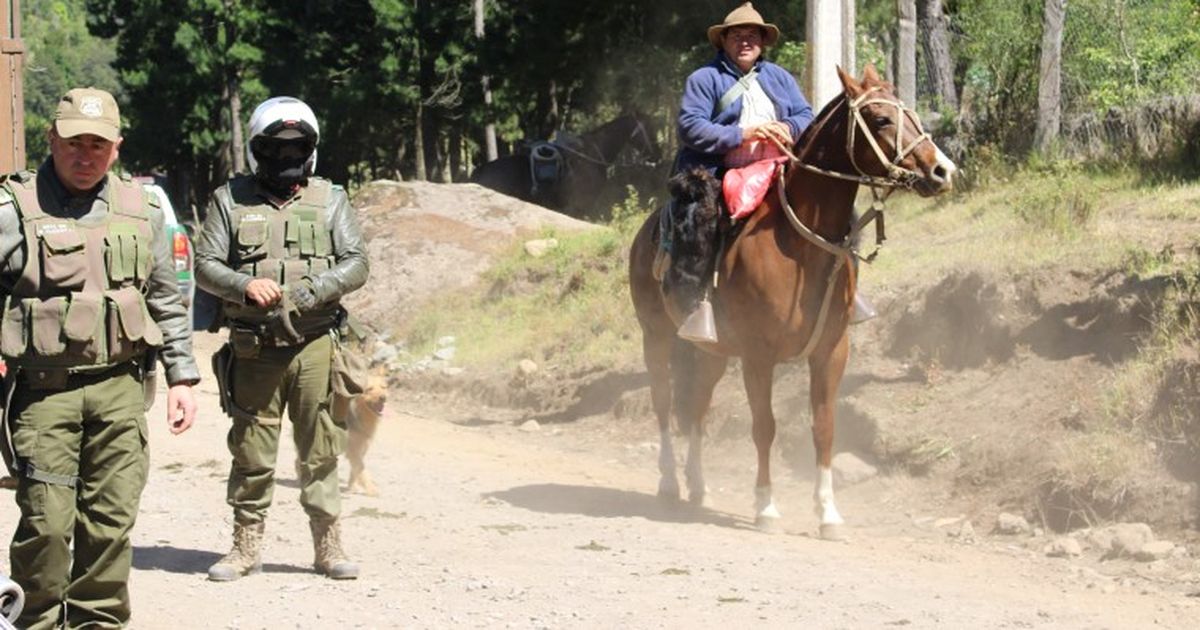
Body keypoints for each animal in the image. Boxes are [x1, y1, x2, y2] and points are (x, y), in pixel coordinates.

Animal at [628, 66, 955, 537]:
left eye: (908, 111)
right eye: (880, 119)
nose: (942, 170)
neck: (799, 246)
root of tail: (647, 230)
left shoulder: (831, 351)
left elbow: (824, 428)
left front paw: (828, 513)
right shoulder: (758, 355)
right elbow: (765, 426)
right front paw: (765, 507)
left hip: (711, 353)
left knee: (697, 408)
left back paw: (698, 485)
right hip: (655, 335)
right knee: (663, 402)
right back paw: (670, 483)